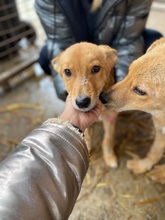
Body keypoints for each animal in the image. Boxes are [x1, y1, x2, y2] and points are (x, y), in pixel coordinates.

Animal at [106, 37, 165, 184]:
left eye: (140, 90)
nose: (102, 97)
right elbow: (154, 151)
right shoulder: (160, 130)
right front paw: (143, 166)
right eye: (129, 70)